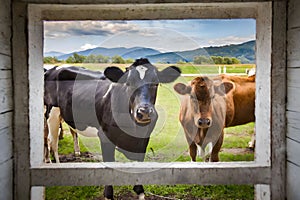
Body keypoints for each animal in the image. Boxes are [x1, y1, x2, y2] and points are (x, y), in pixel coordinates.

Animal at [44, 58, 180, 200]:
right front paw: (108, 194)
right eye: (128, 83)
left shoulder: (143, 140)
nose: (144, 112)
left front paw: (139, 190)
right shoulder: (105, 138)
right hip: (51, 113)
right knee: (52, 141)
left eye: (155, 83)